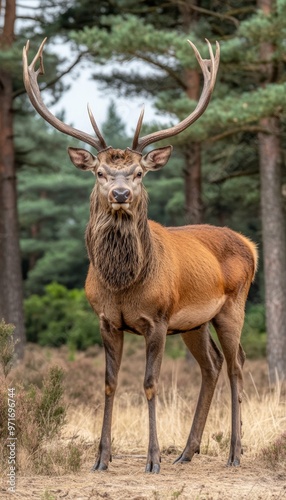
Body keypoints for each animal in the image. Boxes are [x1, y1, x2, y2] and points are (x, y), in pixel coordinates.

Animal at [23, 38, 258, 472]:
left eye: (139, 173)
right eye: (99, 172)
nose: (120, 193)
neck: (123, 283)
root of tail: (250, 245)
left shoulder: (158, 319)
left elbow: (150, 383)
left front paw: (152, 459)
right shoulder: (105, 320)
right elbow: (109, 383)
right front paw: (101, 458)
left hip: (232, 305)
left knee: (237, 365)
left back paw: (234, 453)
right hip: (195, 322)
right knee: (212, 365)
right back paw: (186, 451)